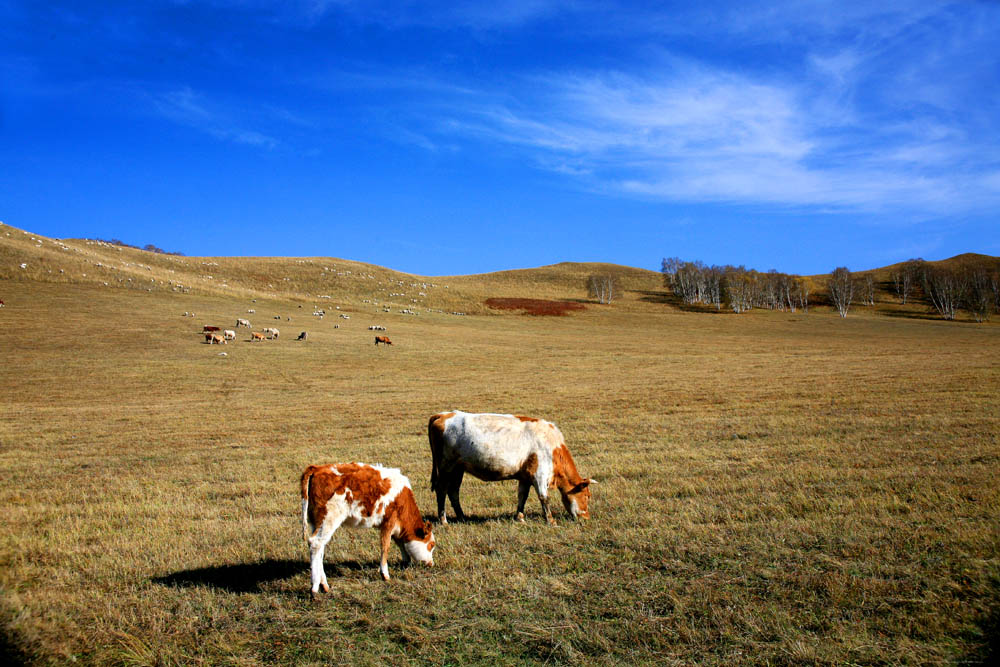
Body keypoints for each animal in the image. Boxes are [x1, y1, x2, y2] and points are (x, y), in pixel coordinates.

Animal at [298, 462, 436, 592]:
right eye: (431, 545)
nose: (431, 563)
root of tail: (317, 468)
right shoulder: (388, 522)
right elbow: (385, 547)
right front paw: (385, 574)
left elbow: (401, 544)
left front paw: (406, 561)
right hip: (329, 519)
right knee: (316, 543)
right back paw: (315, 587)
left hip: (317, 523)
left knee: (319, 548)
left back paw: (324, 585)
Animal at [428, 410, 592, 524]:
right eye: (586, 496)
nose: (586, 517)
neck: (553, 447)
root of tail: (443, 415)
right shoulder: (539, 475)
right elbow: (544, 498)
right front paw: (551, 521)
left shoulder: (525, 477)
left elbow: (522, 496)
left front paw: (520, 518)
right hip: (446, 467)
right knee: (442, 490)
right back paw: (443, 520)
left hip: (458, 469)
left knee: (454, 492)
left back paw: (462, 517)